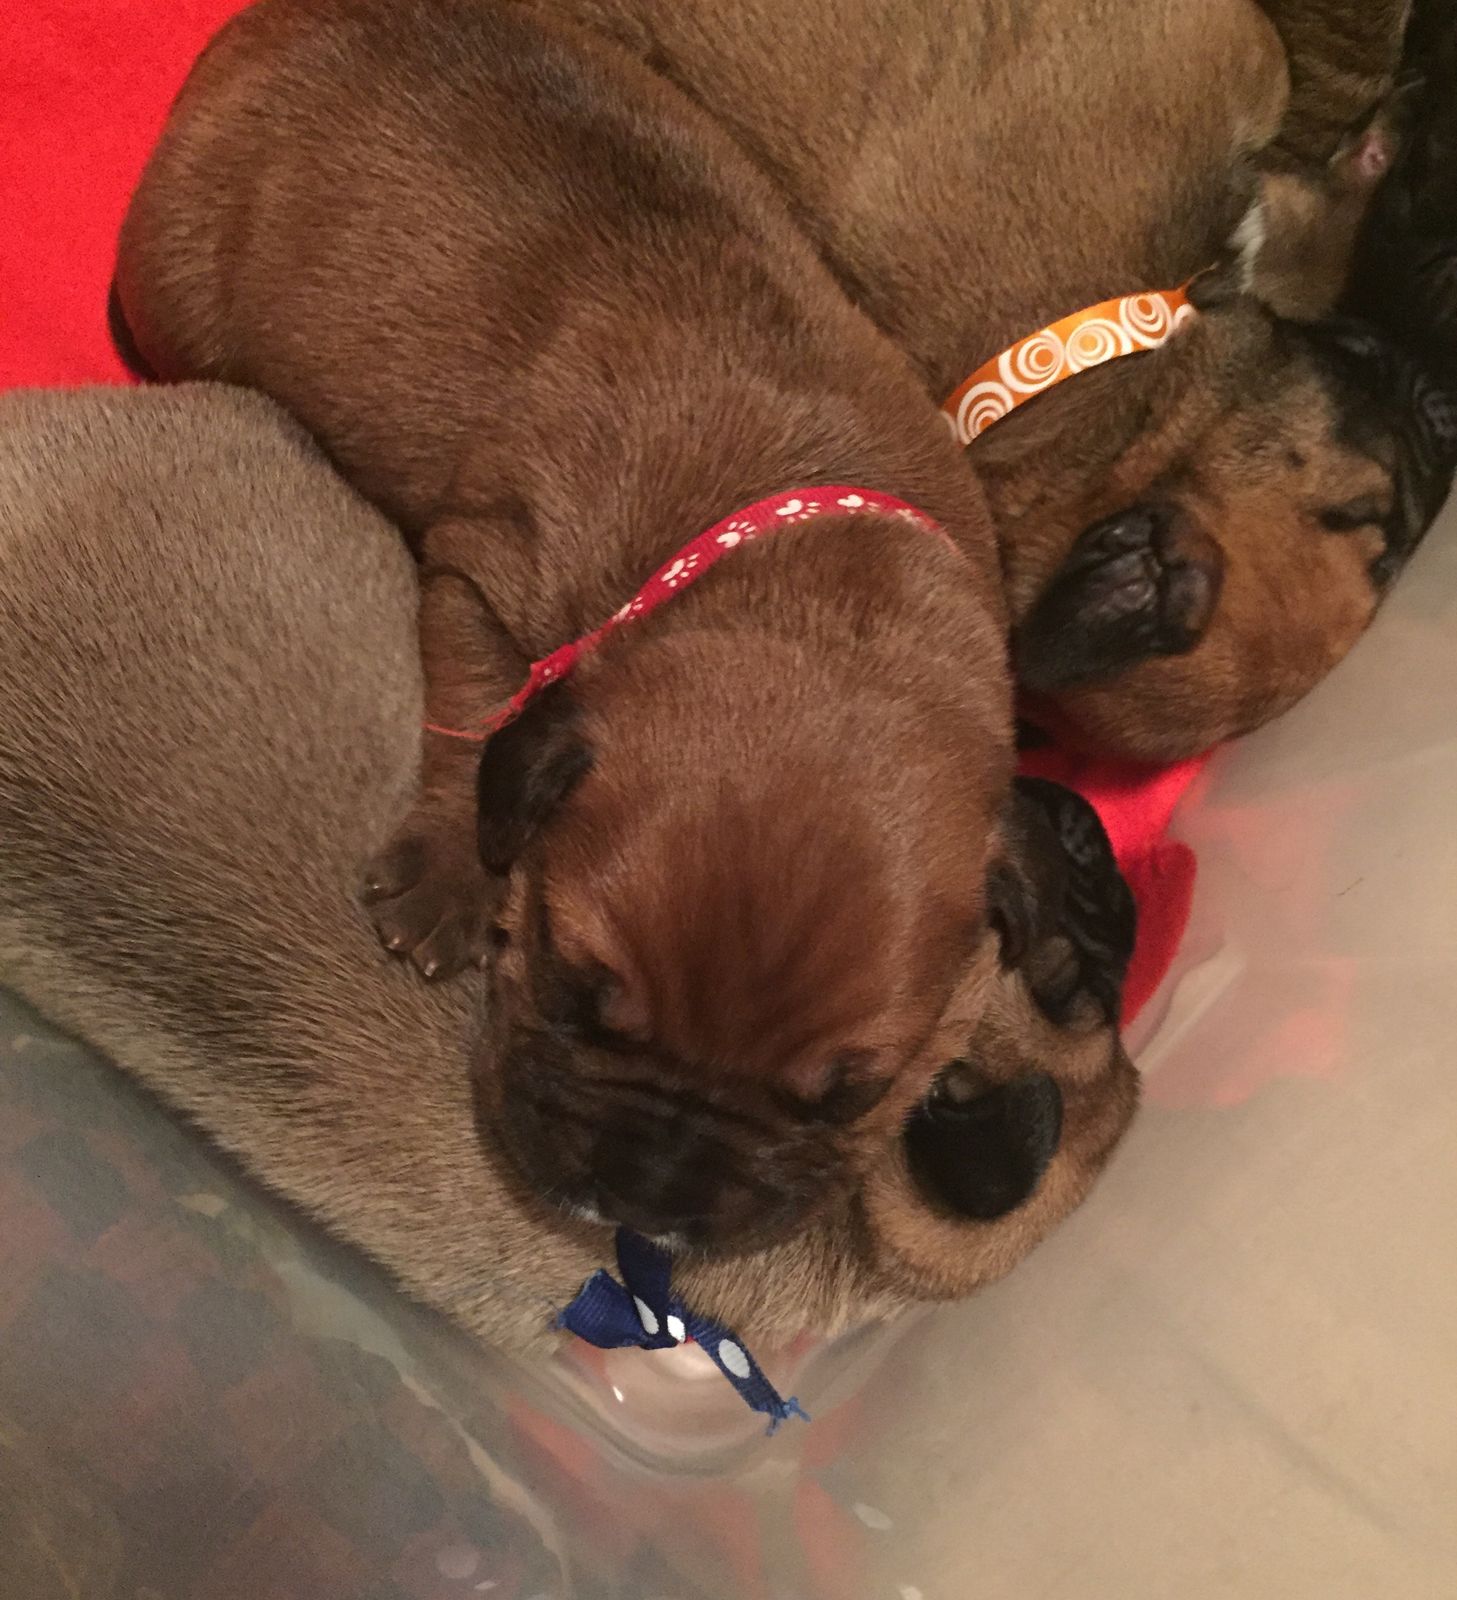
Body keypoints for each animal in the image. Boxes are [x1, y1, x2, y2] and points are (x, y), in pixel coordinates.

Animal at [112, 0, 1019, 1252]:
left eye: (851, 1092)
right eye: (574, 993)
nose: (645, 1198)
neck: (820, 587)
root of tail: (279, 20)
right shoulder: (481, 570)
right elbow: (474, 722)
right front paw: (447, 880)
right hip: (181, 292)